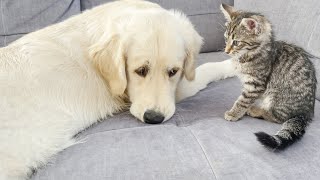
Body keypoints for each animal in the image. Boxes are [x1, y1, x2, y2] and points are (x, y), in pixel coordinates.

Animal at [0, 0, 235, 179]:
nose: (154, 118)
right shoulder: (176, 91)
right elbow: (207, 68)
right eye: (140, 70)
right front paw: (231, 65)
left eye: (173, 71)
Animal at [221, 4, 316, 150]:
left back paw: (256, 110)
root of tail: (307, 111)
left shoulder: (255, 85)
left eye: (236, 42)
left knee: (277, 117)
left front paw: (234, 113)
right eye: (226, 39)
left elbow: (242, 101)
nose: (226, 51)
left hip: (277, 96)